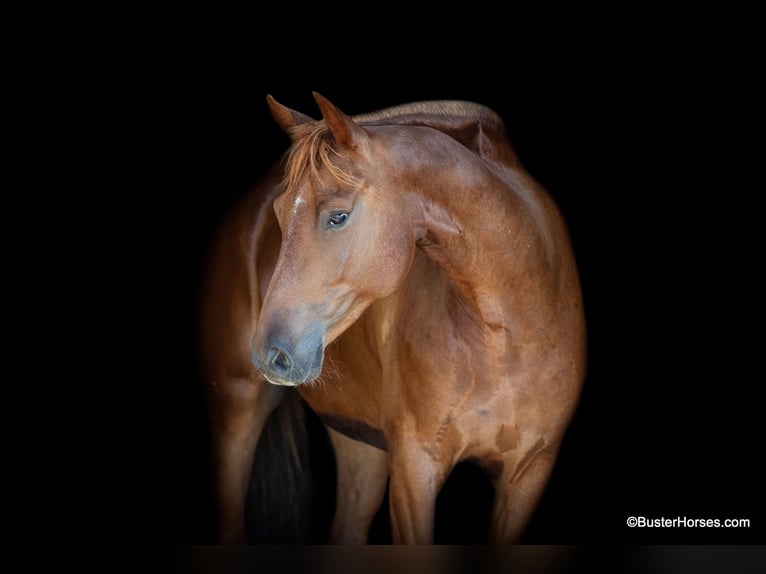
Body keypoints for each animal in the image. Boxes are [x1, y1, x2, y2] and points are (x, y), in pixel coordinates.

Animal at [198, 92, 588, 548]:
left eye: (337, 216)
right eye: (279, 214)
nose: (267, 354)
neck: (510, 335)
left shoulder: (528, 472)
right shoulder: (414, 468)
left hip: (359, 441)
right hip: (236, 411)